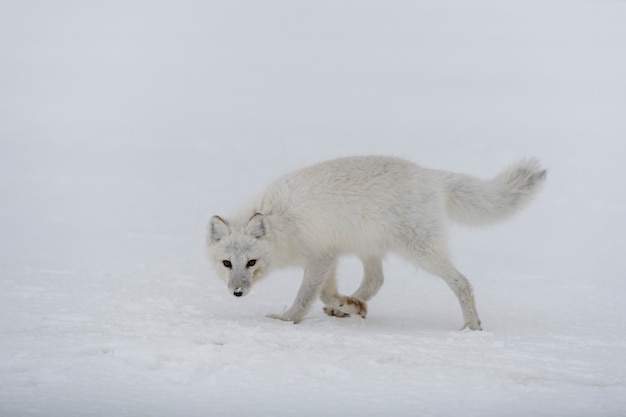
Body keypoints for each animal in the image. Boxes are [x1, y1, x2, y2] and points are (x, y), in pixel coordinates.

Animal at [206, 154, 544, 330]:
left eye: (252, 262)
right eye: (227, 263)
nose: (237, 293)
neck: (280, 220)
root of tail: (431, 176)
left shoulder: (319, 257)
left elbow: (306, 296)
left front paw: (287, 319)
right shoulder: (329, 256)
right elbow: (327, 293)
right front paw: (347, 305)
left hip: (419, 250)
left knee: (462, 283)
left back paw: (472, 327)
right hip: (369, 248)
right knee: (376, 281)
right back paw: (352, 307)